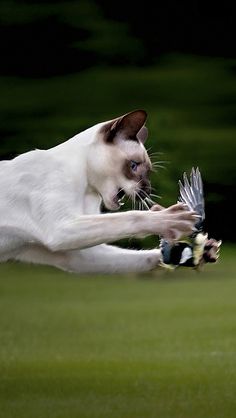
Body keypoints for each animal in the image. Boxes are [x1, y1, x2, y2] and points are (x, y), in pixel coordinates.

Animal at [0, 110, 196, 274]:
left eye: (148, 172)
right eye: (134, 166)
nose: (147, 191)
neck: (86, 191)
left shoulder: (76, 254)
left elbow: (144, 256)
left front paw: (184, 252)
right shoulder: (61, 226)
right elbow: (130, 217)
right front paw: (173, 219)